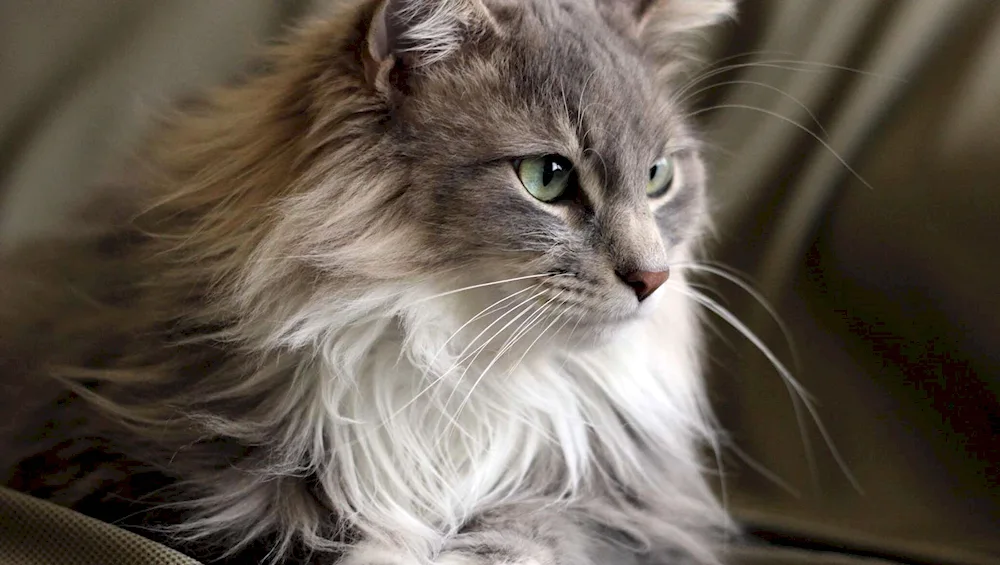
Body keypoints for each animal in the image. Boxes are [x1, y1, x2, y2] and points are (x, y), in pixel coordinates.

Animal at [0, 1, 736, 564]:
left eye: (659, 177)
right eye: (546, 177)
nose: (653, 277)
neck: (461, 363)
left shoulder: (631, 510)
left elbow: (531, 533)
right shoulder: (149, 474)